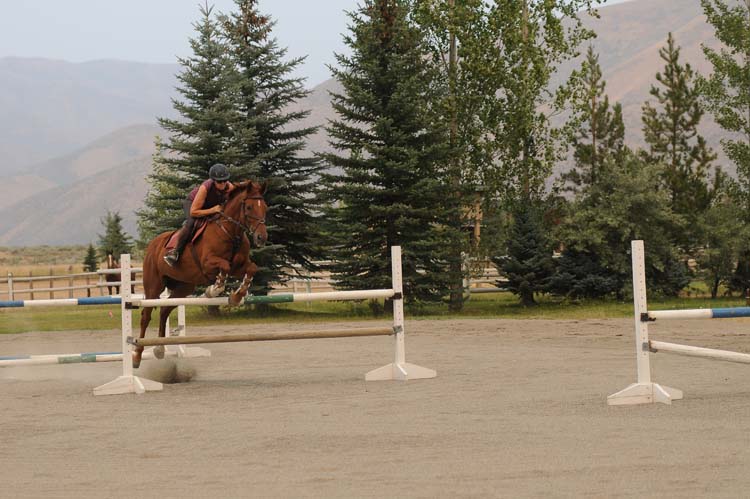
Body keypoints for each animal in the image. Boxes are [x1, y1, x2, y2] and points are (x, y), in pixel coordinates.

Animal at [136, 180, 270, 368]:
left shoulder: (239, 266)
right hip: (153, 287)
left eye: (265, 207)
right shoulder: (208, 264)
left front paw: (237, 295)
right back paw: (137, 355)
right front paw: (213, 290)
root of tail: (152, 244)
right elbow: (224, 267)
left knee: (164, 310)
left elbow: (251, 269)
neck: (230, 232)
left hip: (183, 287)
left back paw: (160, 349)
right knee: (146, 316)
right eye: (249, 207)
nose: (261, 238)